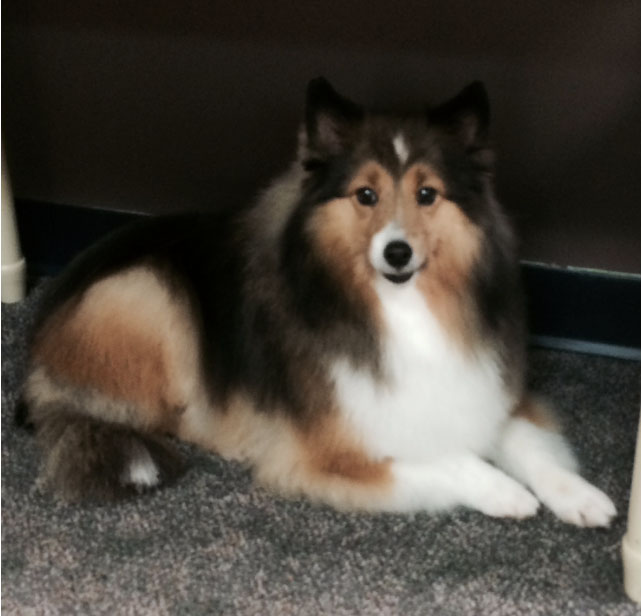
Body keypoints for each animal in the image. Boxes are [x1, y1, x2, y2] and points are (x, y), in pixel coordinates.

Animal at [19, 78, 616, 526]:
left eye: (427, 194)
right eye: (365, 195)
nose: (396, 252)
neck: (396, 308)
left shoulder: (483, 389)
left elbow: (530, 445)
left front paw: (581, 497)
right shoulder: (331, 445)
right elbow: (442, 456)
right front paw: (504, 491)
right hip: (148, 292)